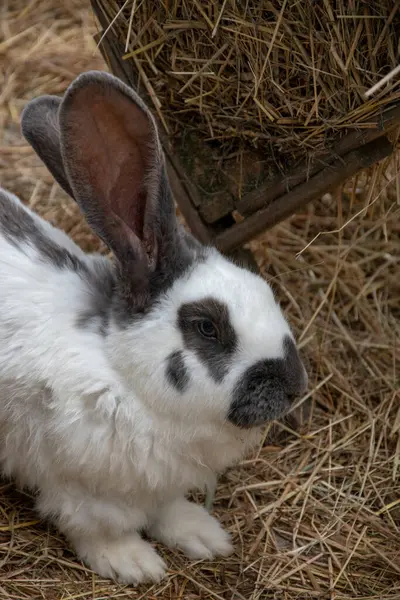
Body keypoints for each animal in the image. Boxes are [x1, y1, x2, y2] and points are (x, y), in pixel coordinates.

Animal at [0, 69, 308, 580]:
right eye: (206, 327)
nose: (294, 386)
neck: (121, 377)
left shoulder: (159, 483)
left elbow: (168, 509)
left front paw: (203, 534)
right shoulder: (78, 486)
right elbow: (98, 529)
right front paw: (133, 563)